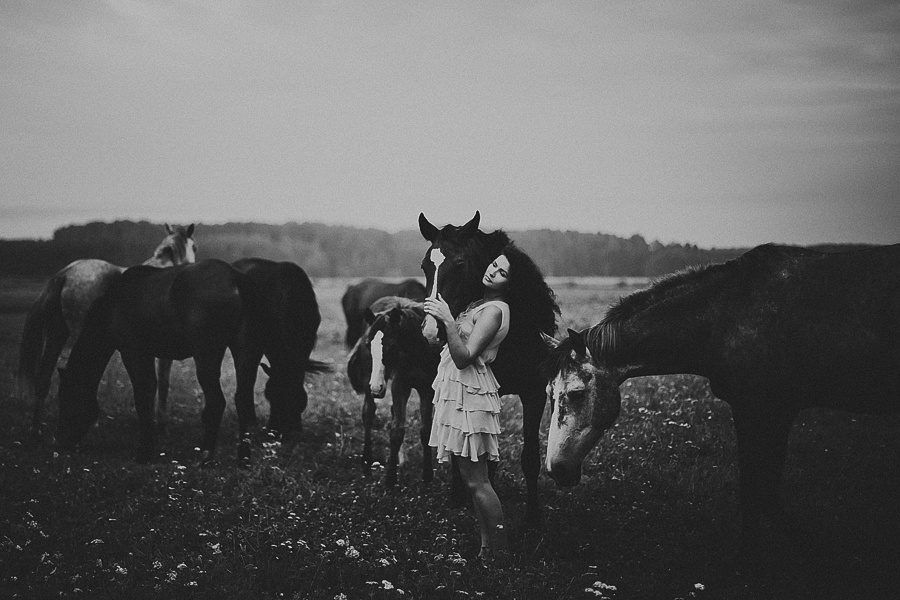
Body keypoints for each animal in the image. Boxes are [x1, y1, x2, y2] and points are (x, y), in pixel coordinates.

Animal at [17, 223, 196, 436]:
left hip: (56, 335)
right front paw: (161, 421)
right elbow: (163, 381)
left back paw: (36, 428)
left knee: (43, 378)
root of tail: (65, 274)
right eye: (195, 247)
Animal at [55, 258, 328, 464]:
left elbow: (144, 394)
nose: (62, 442)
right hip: (247, 352)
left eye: (65, 398)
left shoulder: (134, 351)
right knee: (242, 400)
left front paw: (145, 452)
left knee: (217, 402)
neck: (115, 300)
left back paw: (206, 455)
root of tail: (237, 278)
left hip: (207, 354)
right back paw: (243, 458)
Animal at [346, 296, 441, 486]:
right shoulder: (400, 386)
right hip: (370, 379)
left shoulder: (427, 389)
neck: (417, 351)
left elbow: (425, 429)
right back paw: (367, 460)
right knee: (368, 412)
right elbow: (397, 430)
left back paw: (401, 460)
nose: (376, 387)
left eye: (390, 346)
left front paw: (427, 475)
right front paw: (390, 478)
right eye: (368, 345)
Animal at [418, 211, 558, 522]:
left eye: (459, 264)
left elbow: (530, 457)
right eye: (424, 266)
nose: (431, 331)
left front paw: (533, 517)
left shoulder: (533, 394)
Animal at [540, 242, 900, 550]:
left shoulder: (760, 409)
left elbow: (758, 493)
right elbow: (763, 492)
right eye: (549, 394)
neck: (724, 318)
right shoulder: (772, 412)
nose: (555, 469)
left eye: (575, 394)